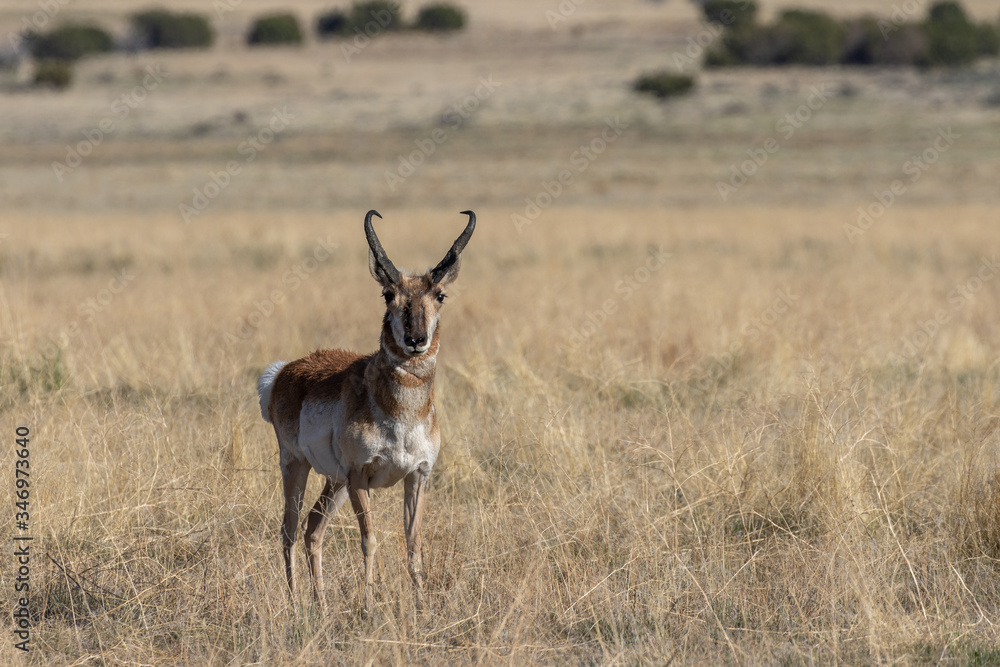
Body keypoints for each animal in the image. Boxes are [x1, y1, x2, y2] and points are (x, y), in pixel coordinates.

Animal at [257, 209, 475, 610]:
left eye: (440, 294)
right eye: (389, 294)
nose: (416, 340)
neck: (401, 417)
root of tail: (283, 373)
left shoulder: (417, 476)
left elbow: (414, 544)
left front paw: (422, 605)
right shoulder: (361, 477)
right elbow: (370, 540)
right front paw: (369, 605)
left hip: (335, 482)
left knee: (313, 528)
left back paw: (322, 605)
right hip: (297, 467)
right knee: (289, 529)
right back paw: (295, 605)